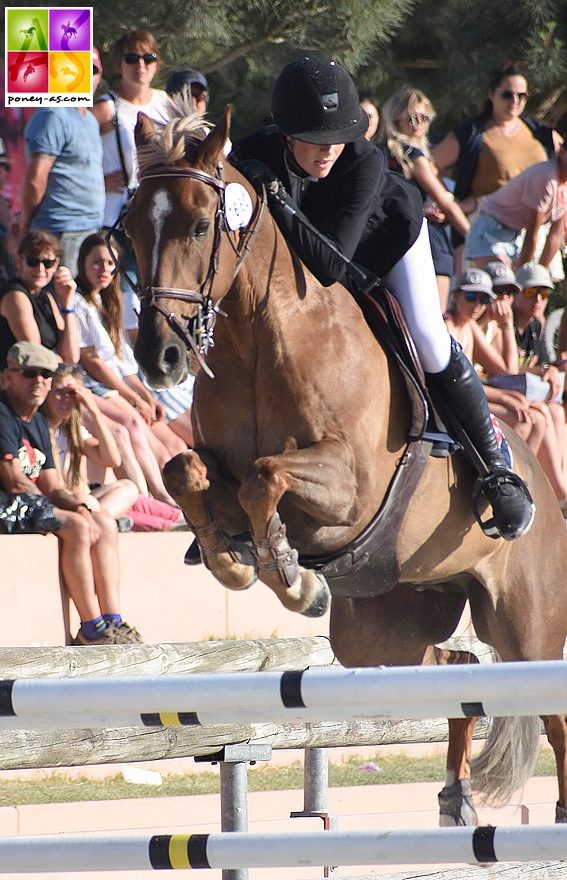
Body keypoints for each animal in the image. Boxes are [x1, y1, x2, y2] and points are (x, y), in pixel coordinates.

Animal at [126, 105, 567, 824]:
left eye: (199, 224)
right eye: (132, 226)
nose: (158, 358)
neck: (256, 338)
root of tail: (543, 484)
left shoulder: (350, 487)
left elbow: (266, 475)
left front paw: (289, 576)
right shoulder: (217, 469)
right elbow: (184, 474)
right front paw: (236, 559)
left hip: (526, 625)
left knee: (549, 711)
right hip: (385, 627)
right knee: (455, 667)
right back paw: (455, 797)